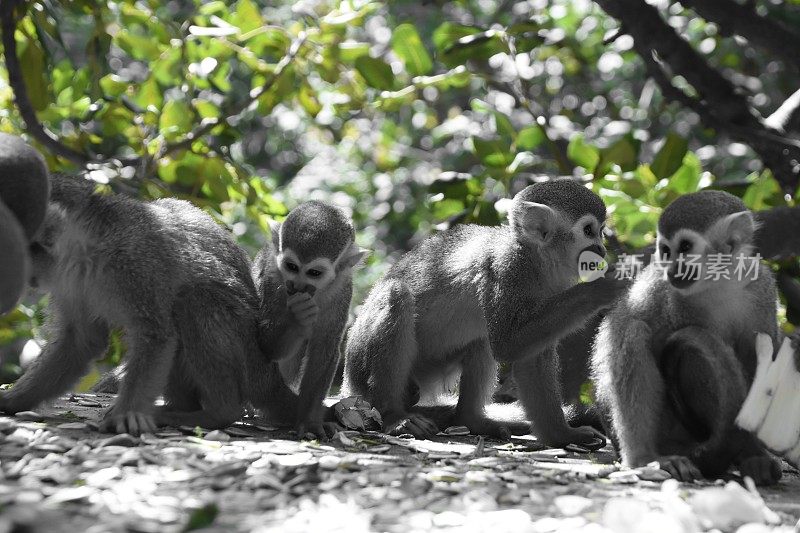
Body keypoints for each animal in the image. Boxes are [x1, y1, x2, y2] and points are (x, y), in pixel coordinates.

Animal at [1, 175, 260, 432]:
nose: (23, 277)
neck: (86, 249)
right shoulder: (67, 279)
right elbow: (81, 340)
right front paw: (13, 400)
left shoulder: (135, 260)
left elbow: (155, 335)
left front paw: (126, 415)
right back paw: (182, 408)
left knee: (192, 302)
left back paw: (218, 412)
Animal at [252, 202, 368, 438]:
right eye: (291, 267)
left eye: (314, 273)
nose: (297, 286)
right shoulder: (270, 275)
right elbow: (266, 344)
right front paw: (297, 318)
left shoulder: (342, 287)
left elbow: (323, 349)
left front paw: (310, 421)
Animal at [344, 179, 624, 444]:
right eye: (588, 231)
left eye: (600, 232)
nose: (601, 250)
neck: (534, 258)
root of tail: (348, 386)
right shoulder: (505, 269)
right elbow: (508, 343)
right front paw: (601, 289)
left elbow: (529, 356)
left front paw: (562, 435)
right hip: (362, 370)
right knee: (396, 295)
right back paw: (393, 415)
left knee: (481, 339)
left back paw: (471, 420)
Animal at [592, 189, 784, 484]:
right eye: (666, 251)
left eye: (684, 248)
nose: (672, 269)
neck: (719, 283)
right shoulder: (663, 292)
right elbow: (627, 325)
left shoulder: (761, 288)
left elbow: (758, 361)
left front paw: (755, 455)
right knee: (636, 333)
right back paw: (645, 457)